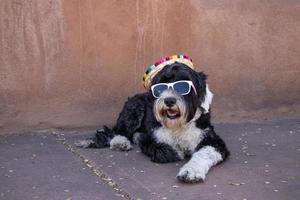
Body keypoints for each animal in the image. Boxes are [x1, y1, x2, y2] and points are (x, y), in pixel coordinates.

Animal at [77, 54, 230, 183]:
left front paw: (190, 172)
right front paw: (175, 152)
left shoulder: (213, 141)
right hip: (134, 109)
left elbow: (205, 153)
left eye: (183, 85)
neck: (177, 126)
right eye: (161, 86)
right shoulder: (152, 137)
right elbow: (162, 149)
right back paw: (120, 142)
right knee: (118, 131)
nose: (169, 100)